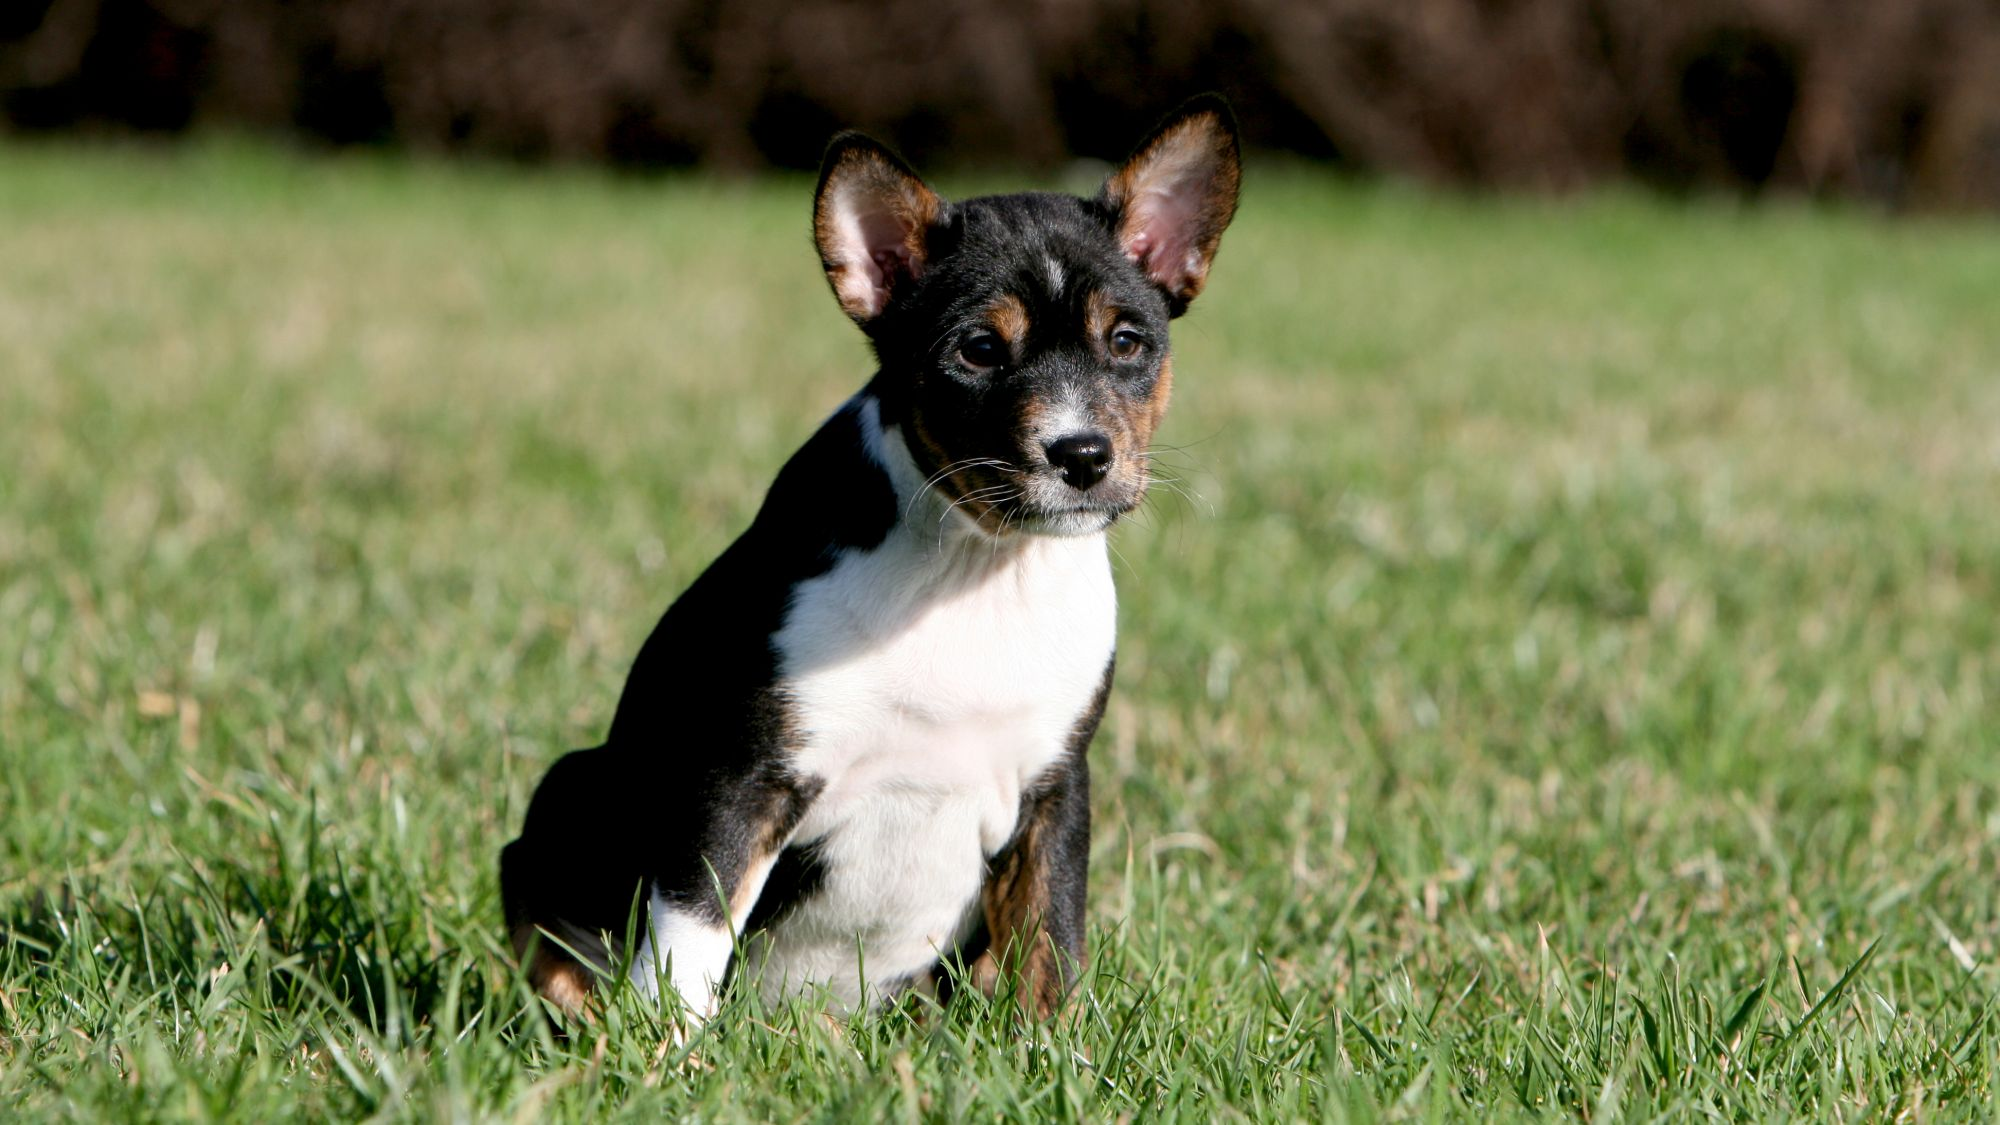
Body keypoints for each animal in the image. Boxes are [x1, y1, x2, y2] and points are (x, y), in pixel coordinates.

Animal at [504, 96, 1232, 1020]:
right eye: (977, 350)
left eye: (1129, 342)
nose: (1082, 454)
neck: (975, 570)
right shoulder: (743, 778)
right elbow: (688, 941)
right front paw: (663, 1050)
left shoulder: (1056, 791)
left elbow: (1050, 944)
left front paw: (1052, 1046)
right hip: (569, 789)